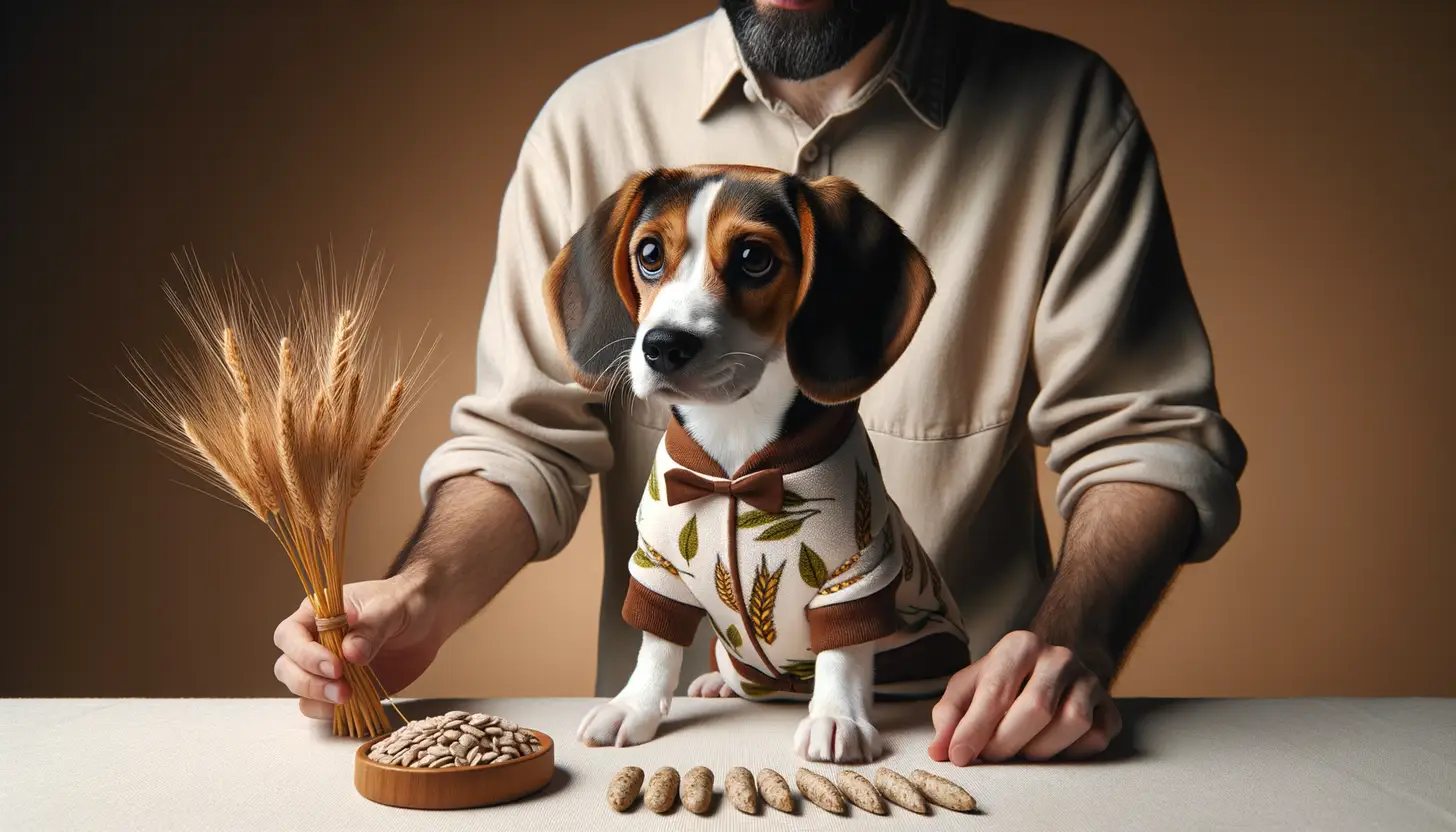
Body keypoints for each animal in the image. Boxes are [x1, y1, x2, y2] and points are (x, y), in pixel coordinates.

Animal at [541, 162, 972, 763]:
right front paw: (633, 706)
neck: (735, 466)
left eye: (753, 257)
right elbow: (656, 645)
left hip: (925, 646)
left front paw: (837, 717)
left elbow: (843, 653)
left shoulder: (858, 572)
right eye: (649, 253)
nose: (662, 345)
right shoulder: (657, 565)